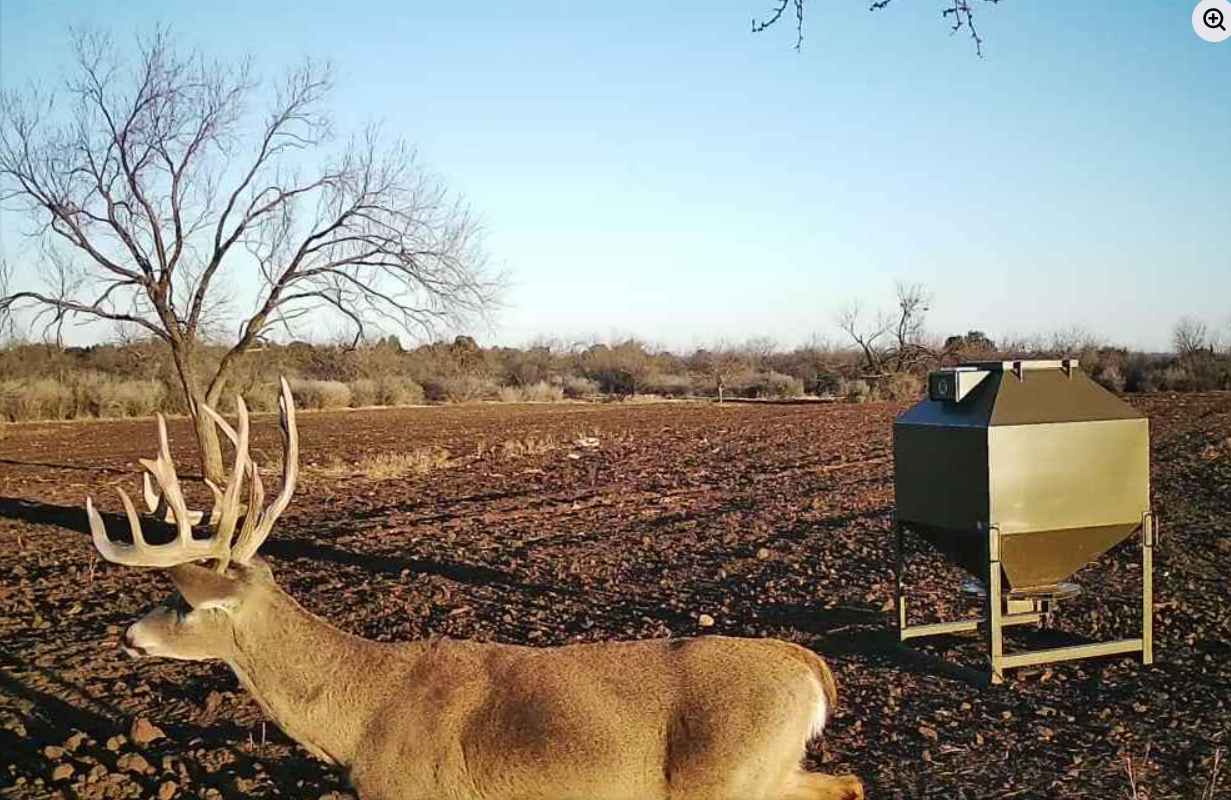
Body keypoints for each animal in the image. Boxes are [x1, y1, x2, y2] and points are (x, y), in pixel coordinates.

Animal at [86, 378, 865, 800]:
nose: (126, 635)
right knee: (850, 782)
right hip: (769, 770)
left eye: (183, 601)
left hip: (727, 777)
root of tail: (808, 666)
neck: (357, 718)